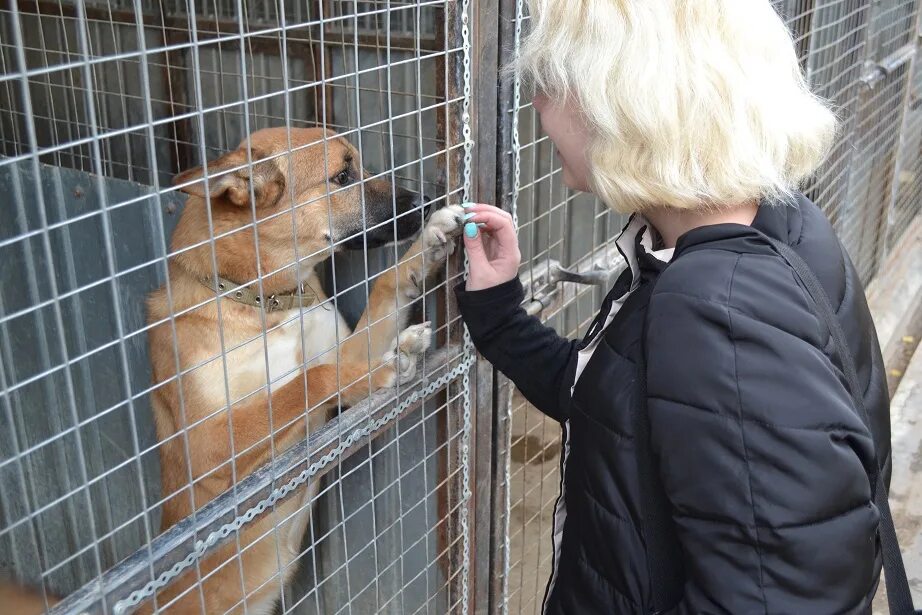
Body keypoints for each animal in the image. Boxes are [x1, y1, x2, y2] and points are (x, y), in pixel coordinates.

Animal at [138, 127, 460, 612]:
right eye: (342, 176)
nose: (424, 200)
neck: (268, 301)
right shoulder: (207, 445)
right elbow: (309, 379)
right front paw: (377, 374)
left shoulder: (343, 345)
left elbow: (385, 287)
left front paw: (427, 243)